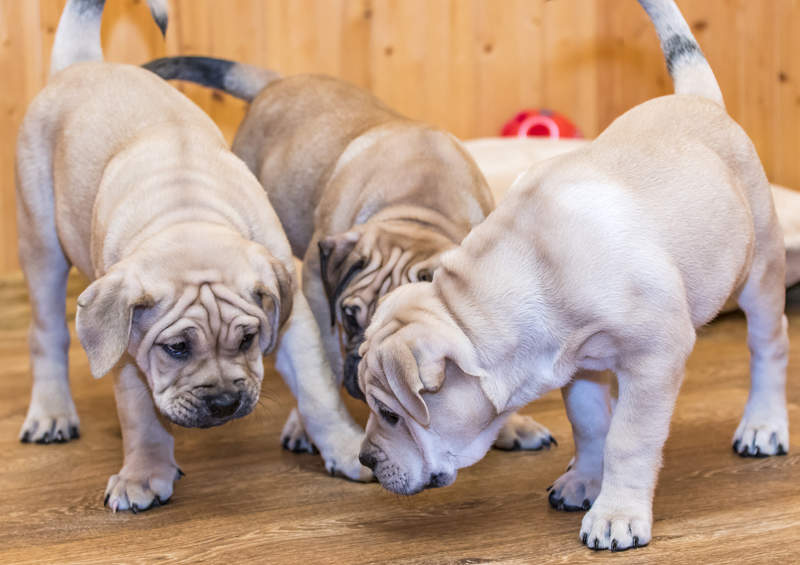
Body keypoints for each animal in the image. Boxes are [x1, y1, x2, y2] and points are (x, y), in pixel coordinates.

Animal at [18, 0, 368, 512]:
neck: (186, 213)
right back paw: (51, 413)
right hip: (41, 243)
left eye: (247, 339)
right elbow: (141, 416)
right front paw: (144, 474)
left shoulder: (292, 321)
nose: (223, 403)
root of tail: (80, 64)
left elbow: (318, 391)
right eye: (177, 348)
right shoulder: (126, 352)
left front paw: (344, 446)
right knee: (47, 335)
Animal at [142, 56, 556, 450]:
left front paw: (512, 426)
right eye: (350, 316)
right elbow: (324, 360)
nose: (364, 366)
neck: (418, 213)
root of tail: (275, 82)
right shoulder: (317, 286)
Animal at [356, 0, 788, 548]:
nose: (365, 460)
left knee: (769, 345)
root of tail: (698, 98)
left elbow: (628, 439)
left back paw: (764, 425)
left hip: (759, 272)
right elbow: (591, 426)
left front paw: (616, 514)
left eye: (392, 414)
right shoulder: (576, 366)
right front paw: (585, 479)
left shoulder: (656, 358)